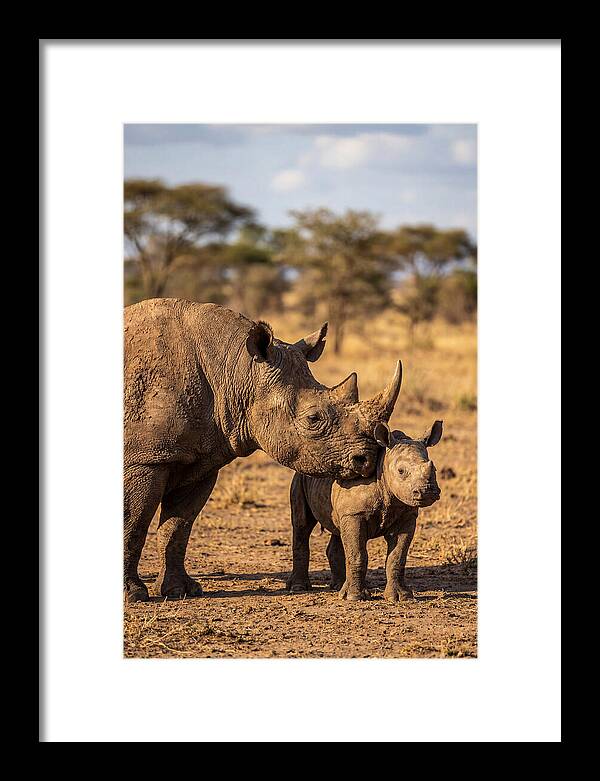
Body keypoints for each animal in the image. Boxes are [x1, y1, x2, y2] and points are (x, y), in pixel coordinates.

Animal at [124, 298, 402, 603]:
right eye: (313, 419)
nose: (367, 459)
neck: (236, 370)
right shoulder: (145, 459)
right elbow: (133, 521)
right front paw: (133, 595)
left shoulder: (201, 459)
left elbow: (178, 526)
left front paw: (180, 591)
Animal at [286, 411, 443, 602]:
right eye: (401, 471)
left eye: (434, 469)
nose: (427, 492)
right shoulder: (355, 514)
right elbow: (358, 554)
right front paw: (354, 597)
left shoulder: (406, 515)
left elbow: (397, 557)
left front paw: (401, 597)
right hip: (300, 477)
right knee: (302, 525)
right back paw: (299, 587)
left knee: (338, 530)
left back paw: (338, 586)